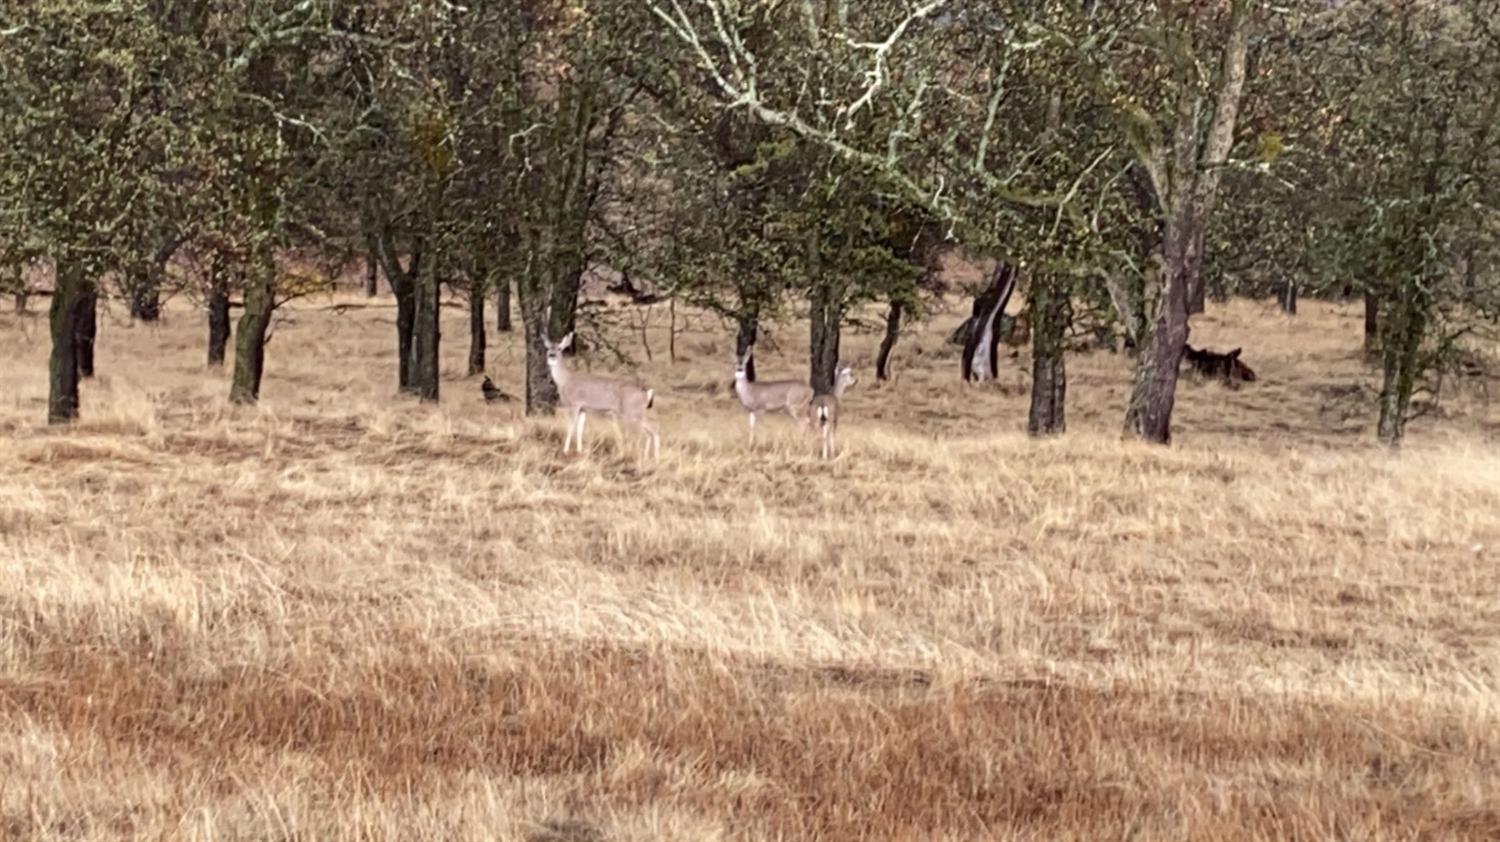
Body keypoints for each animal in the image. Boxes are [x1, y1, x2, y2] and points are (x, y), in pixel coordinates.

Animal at [540, 330, 657, 459]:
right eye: (547, 348)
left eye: (560, 348)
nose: (551, 356)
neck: (565, 380)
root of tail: (646, 394)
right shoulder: (583, 409)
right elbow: (579, 430)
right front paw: (580, 451)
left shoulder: (574, 404)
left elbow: (570, 427)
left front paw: (565, 450)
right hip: (637, 413)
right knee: (652, 430)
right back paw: (653, 458)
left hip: (632, 412)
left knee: (647, 432)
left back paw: (645, 457)